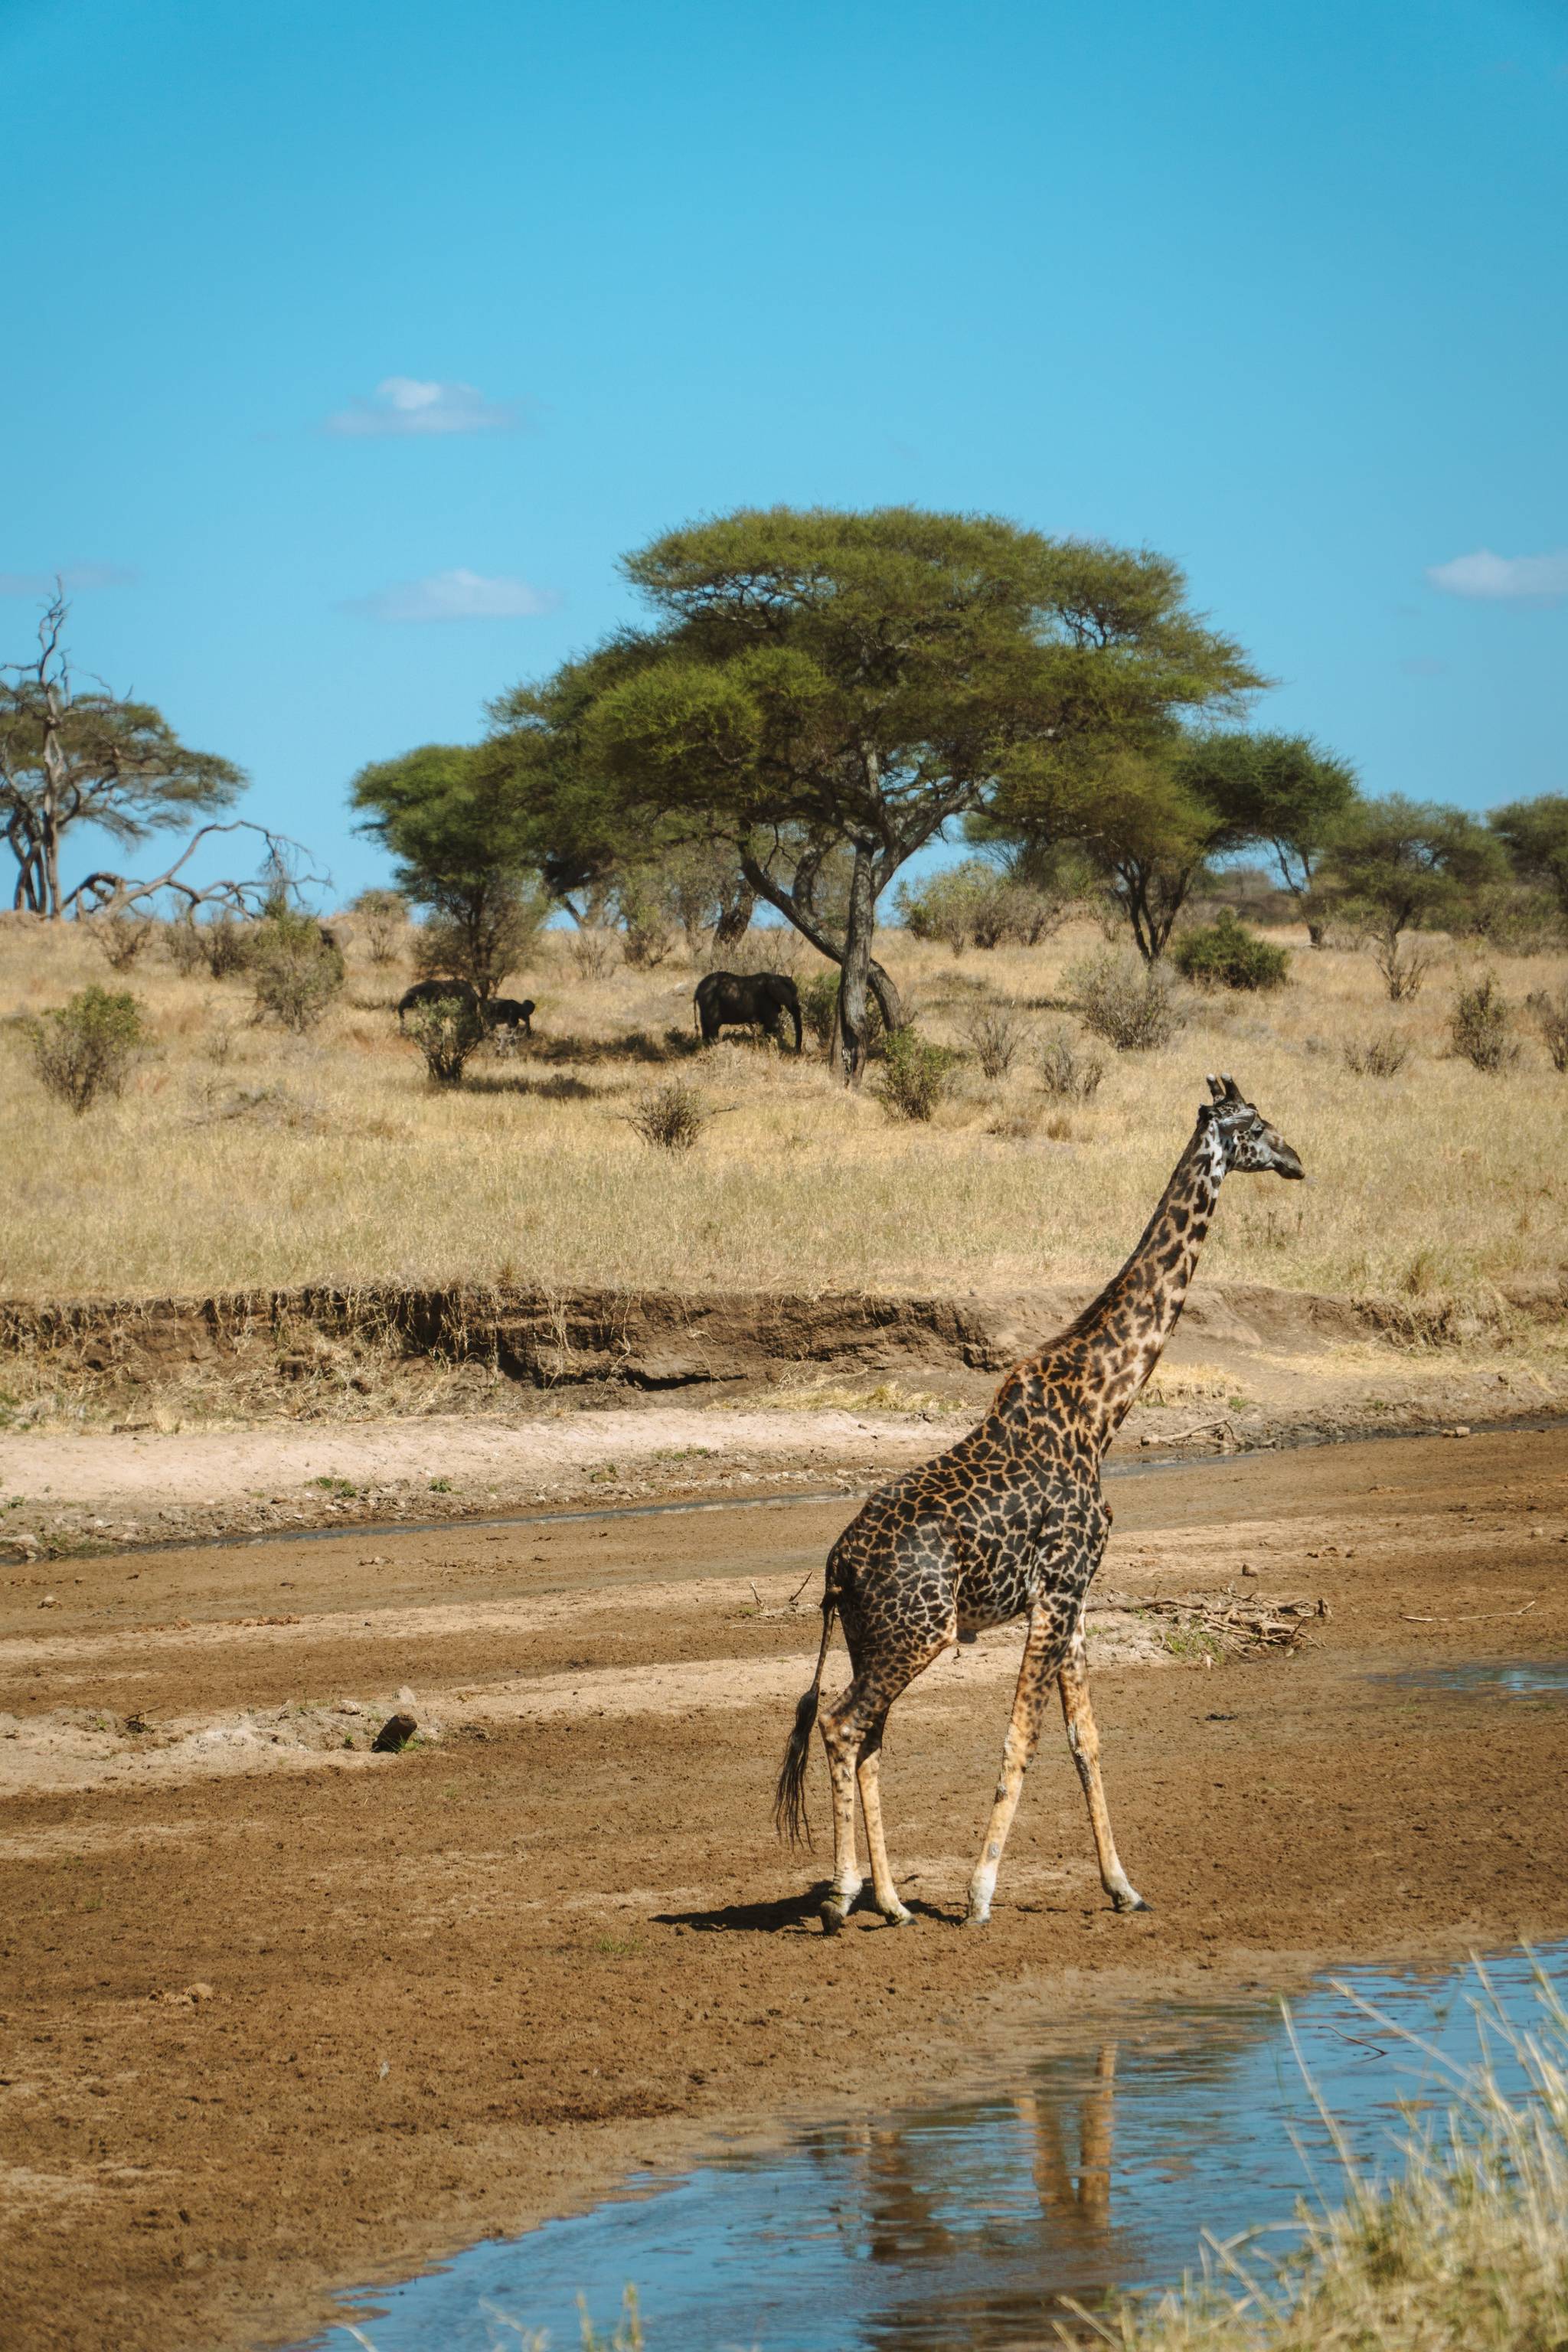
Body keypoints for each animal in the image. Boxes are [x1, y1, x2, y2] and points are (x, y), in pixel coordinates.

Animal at [691, 969, 804, 1054]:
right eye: (794, 995)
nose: (796, 1050)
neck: (777, 977)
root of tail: (698, 989)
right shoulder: (767, 1001)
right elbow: (773, 1025)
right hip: (710, 1001)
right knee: (714, 1027)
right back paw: (715, 1047)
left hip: (705, 1005)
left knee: (705, 1027)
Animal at [780, 1076, 1307, 1938]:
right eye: (1257, 1125)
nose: (1296, 1160)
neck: (1103, 1405)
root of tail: (835, 1565)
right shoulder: (1057, 1590)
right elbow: (1019, 1737)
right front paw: (978, 1896)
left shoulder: (1076, 1594)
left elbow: (1084, 1740)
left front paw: (1123, 1887)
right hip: (917, 1633)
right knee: (841, 1725)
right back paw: (839, 1897)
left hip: (874, 1639)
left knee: (870, 1740)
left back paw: (891, 1902)